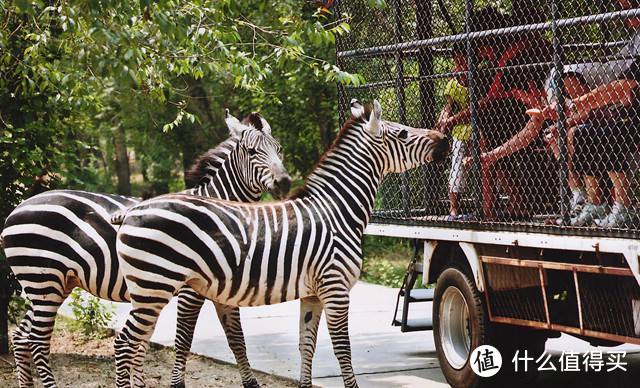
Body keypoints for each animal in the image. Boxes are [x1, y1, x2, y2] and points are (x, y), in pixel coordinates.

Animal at [1, 109, 292, 388]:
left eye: (279, 149)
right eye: (252, 152)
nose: (285, 182)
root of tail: (16, 210)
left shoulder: (224, 289)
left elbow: (237, 340)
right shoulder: (189, 291)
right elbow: (183, 339)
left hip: (52, 285)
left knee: (22, 337)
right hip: (44, 282)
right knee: (38, 341)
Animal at [111, 100, 450, 388]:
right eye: (403, 133)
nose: (445, 139)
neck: (337, 210)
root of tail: (134, 210)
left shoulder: (313, 293)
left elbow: (306, 345)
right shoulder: (336, 287)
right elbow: (343, 349)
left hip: (149, 291)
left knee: (135, 342)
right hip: (155, 286)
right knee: (124, 342)